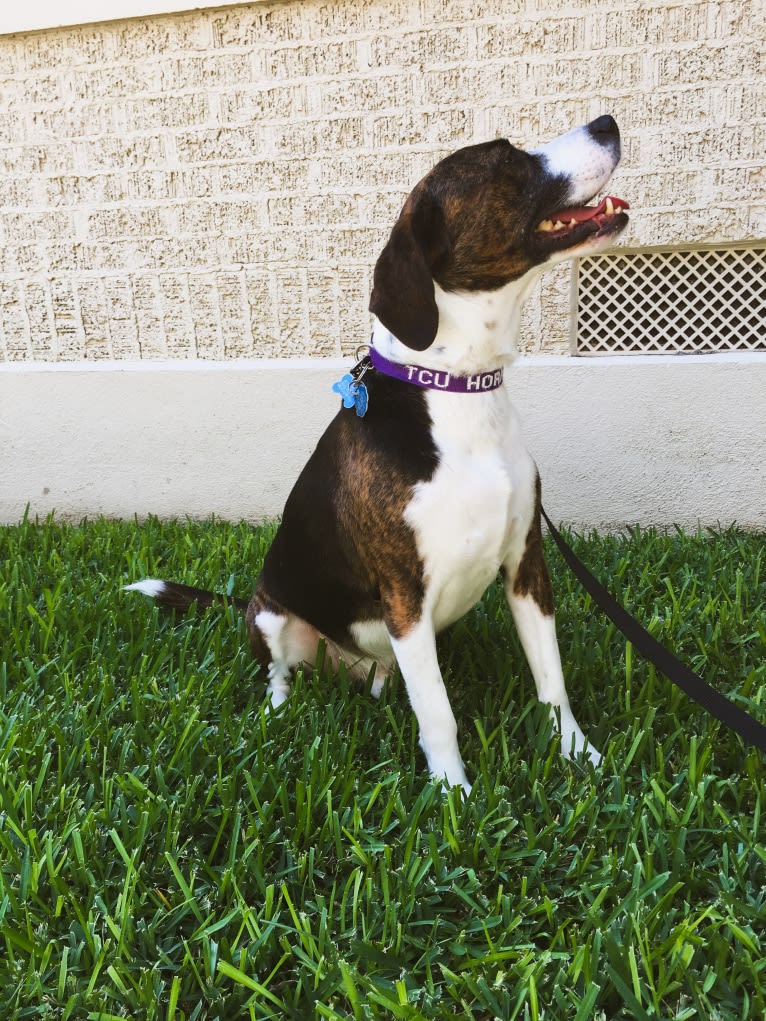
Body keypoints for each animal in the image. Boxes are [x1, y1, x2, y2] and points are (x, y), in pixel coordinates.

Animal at [126, 115, 629, 792]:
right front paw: (454, 794)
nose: (607, 122)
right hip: (275, 618)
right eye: (506, 160)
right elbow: (438, 713)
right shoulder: (404, 594)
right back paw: (278, 711)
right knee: (280, 671)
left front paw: (581, 757)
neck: (458, 391)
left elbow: (552, 682)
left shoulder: (527, 565)